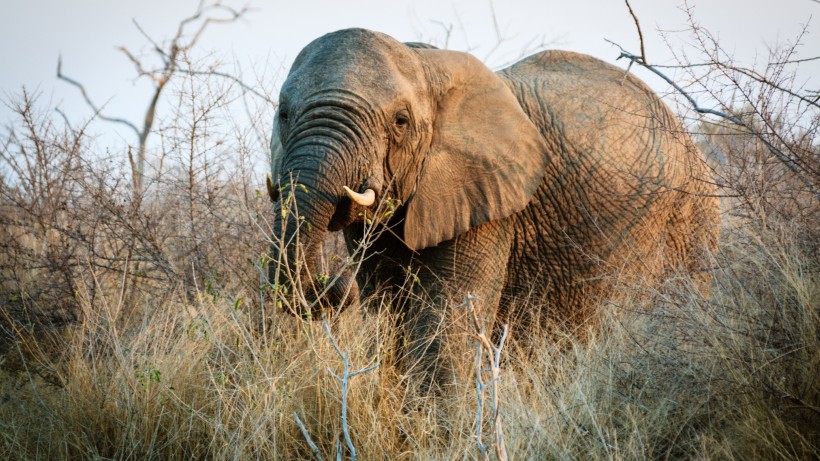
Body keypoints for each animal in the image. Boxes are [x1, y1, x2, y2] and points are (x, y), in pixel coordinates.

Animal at [268, 27, 716, 390]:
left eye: (400, 121)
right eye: (283, 114)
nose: (335, 284)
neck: (425, 65)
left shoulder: (490, 201)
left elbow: (444, 324)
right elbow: (389, 315)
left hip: (691, 223)